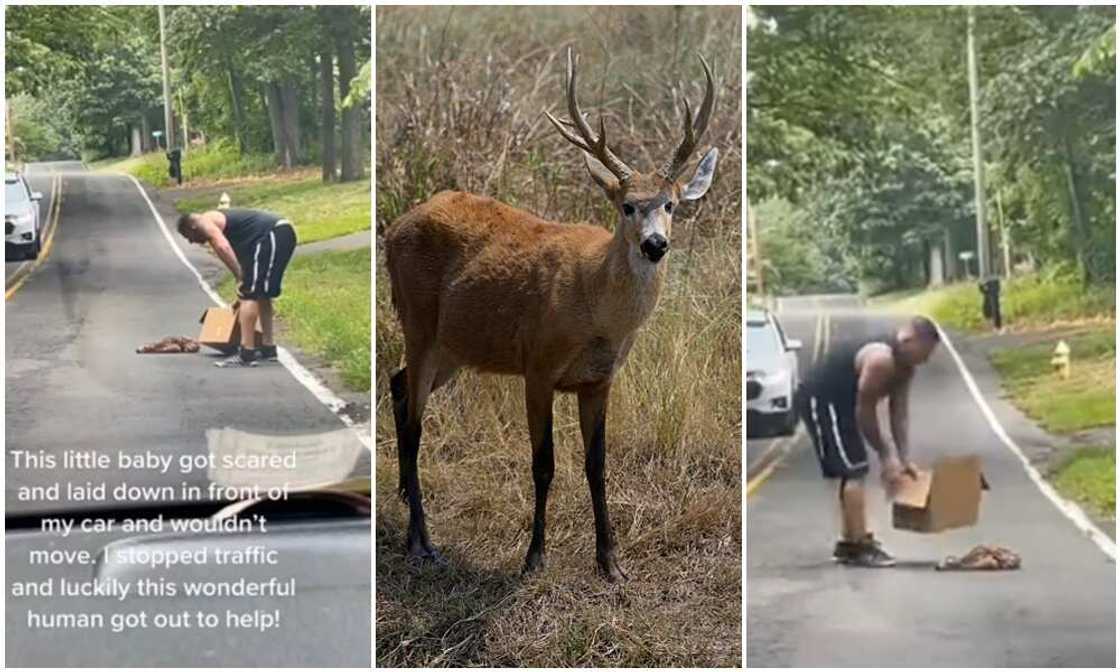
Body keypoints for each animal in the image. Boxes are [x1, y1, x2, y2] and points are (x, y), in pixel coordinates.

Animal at [385, 48, 716, 582]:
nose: (655, 244)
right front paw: (534, 558)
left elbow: (596, 465)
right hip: (417, 322)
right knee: (415, 422)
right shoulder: (537, 367)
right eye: (627, 206)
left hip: (453, 346)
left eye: (671, 205)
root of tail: (394, 227)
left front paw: (611, 562)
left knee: (396, 385)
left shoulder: (599, 380)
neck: (596, 313)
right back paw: (422, 541)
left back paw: (405, 506)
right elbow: (544, 464)